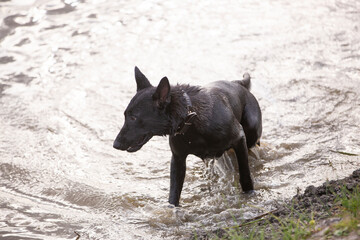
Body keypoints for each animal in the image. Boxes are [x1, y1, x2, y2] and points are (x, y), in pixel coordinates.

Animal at [112, 66, 262, 206]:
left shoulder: (239, 138)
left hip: (251, 132)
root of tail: (239, 83)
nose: (115, 144)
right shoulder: (178, 159)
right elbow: (174, 194)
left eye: (133, 118)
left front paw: (249, 194)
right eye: (125, 115)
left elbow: (245, 175)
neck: (191, 119)